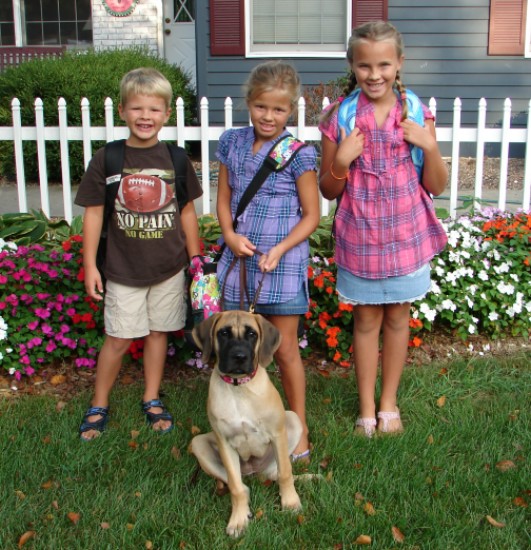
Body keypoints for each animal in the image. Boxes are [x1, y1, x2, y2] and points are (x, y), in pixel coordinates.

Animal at [190, 312, 304, 536]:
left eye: (252, 334)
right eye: (224, 333)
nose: (239, 357)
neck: (238, 388)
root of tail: (254, 472)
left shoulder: (278, 434)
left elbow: (285, 473)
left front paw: (290, 502)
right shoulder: (225, 443)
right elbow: (235, 488)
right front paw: (238, 520)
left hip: (293, 419)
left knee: (277, 472)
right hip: (198, 444)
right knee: (243, 486)